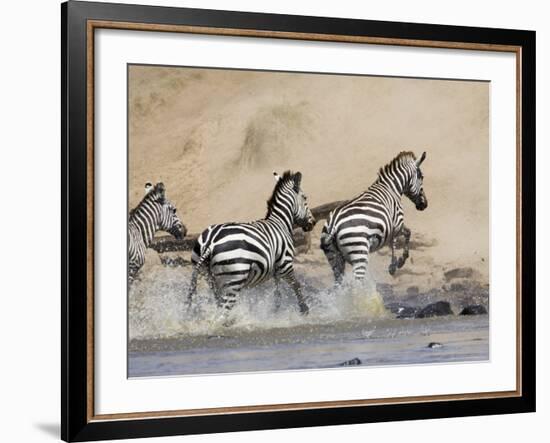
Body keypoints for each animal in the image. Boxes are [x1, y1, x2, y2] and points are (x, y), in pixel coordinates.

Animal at [188, 170, 316, 316]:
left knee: (219, 303)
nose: (313, 223)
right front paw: (304, 309)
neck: (280, 222)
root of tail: (210, 242)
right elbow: (296, 284)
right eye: (305, 198)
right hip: (234, 278)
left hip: (210, 277)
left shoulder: (276, 267)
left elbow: (277, 290)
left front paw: (276, 309)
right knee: (223, 311)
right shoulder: (285, 263)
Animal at [322, 152, 430, 284]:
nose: (424, 204)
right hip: (359, 251)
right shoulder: (397, 224)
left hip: (334, 258)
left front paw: (395, 265)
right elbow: (403, 236)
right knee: (358, 282)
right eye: (422, 177)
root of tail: (334, 224)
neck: (392, 188)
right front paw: (397, 264)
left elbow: (400, 238)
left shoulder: (393, 227)